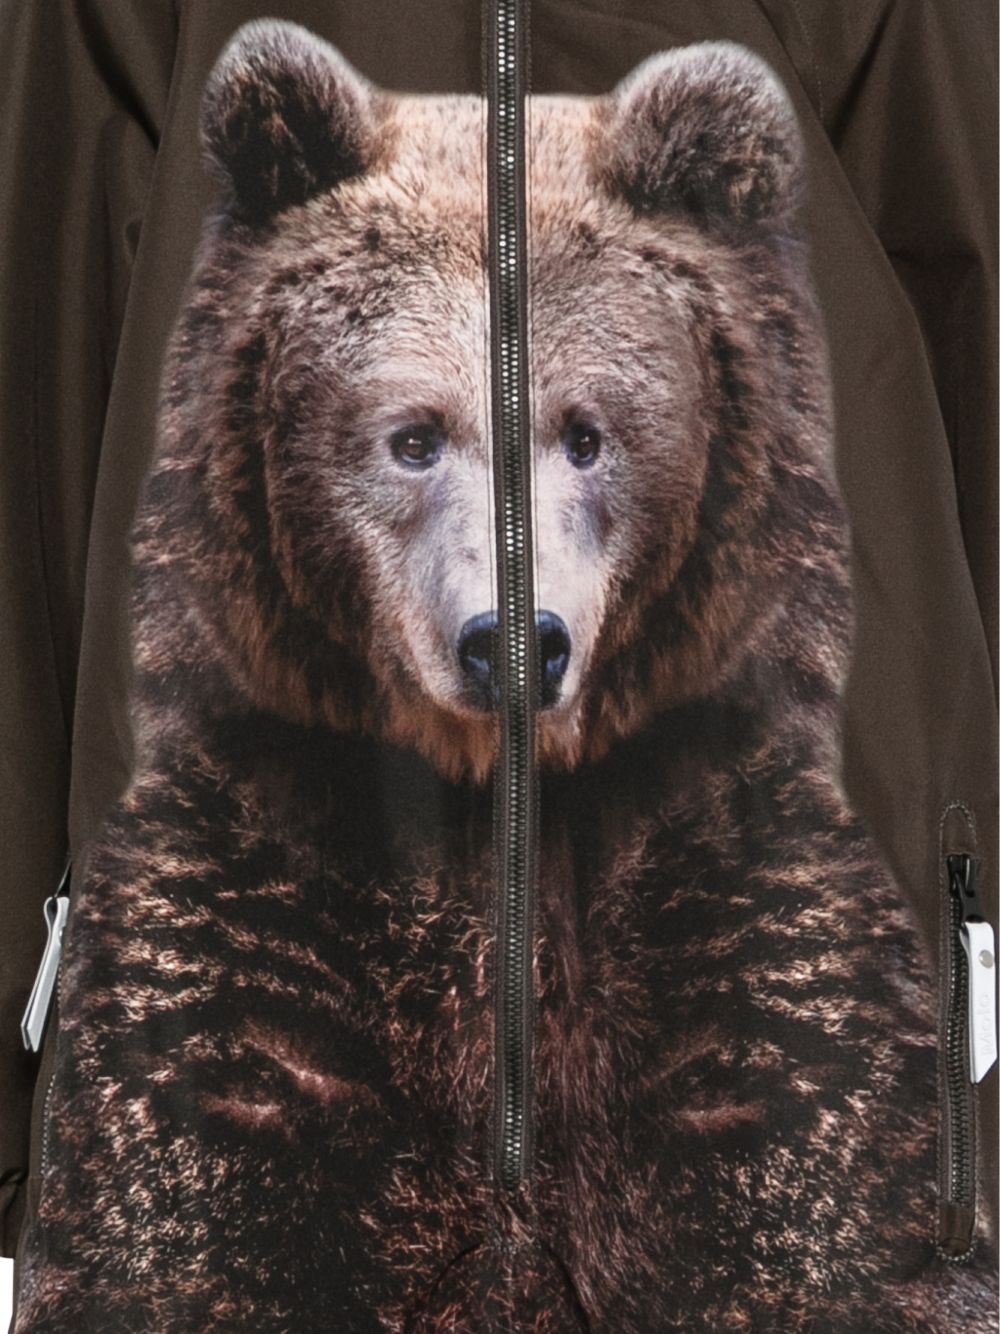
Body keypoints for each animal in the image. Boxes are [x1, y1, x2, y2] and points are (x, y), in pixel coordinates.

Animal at [12, 19, 998, 1334]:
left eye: (586, 431)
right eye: (413, 435)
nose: (514, 641)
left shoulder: (729, 924)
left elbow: (821, 1193)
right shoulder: (253, 927)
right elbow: (183, 1191)